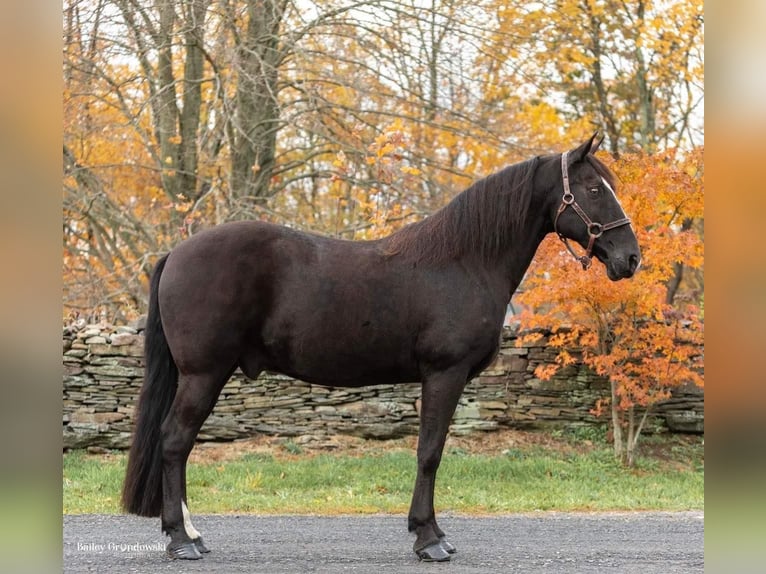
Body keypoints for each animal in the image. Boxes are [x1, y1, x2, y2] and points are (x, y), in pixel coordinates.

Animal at [124, 134, 640, 564]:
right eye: (594, 189)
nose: (630, 258)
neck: (465, 261)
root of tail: (176, 254)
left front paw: (431, 533)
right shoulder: (443, 374)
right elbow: (429, 452)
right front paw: (429, 540)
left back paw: (192, 534)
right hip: (203, 373)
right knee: (175, 441)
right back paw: (181, 541)